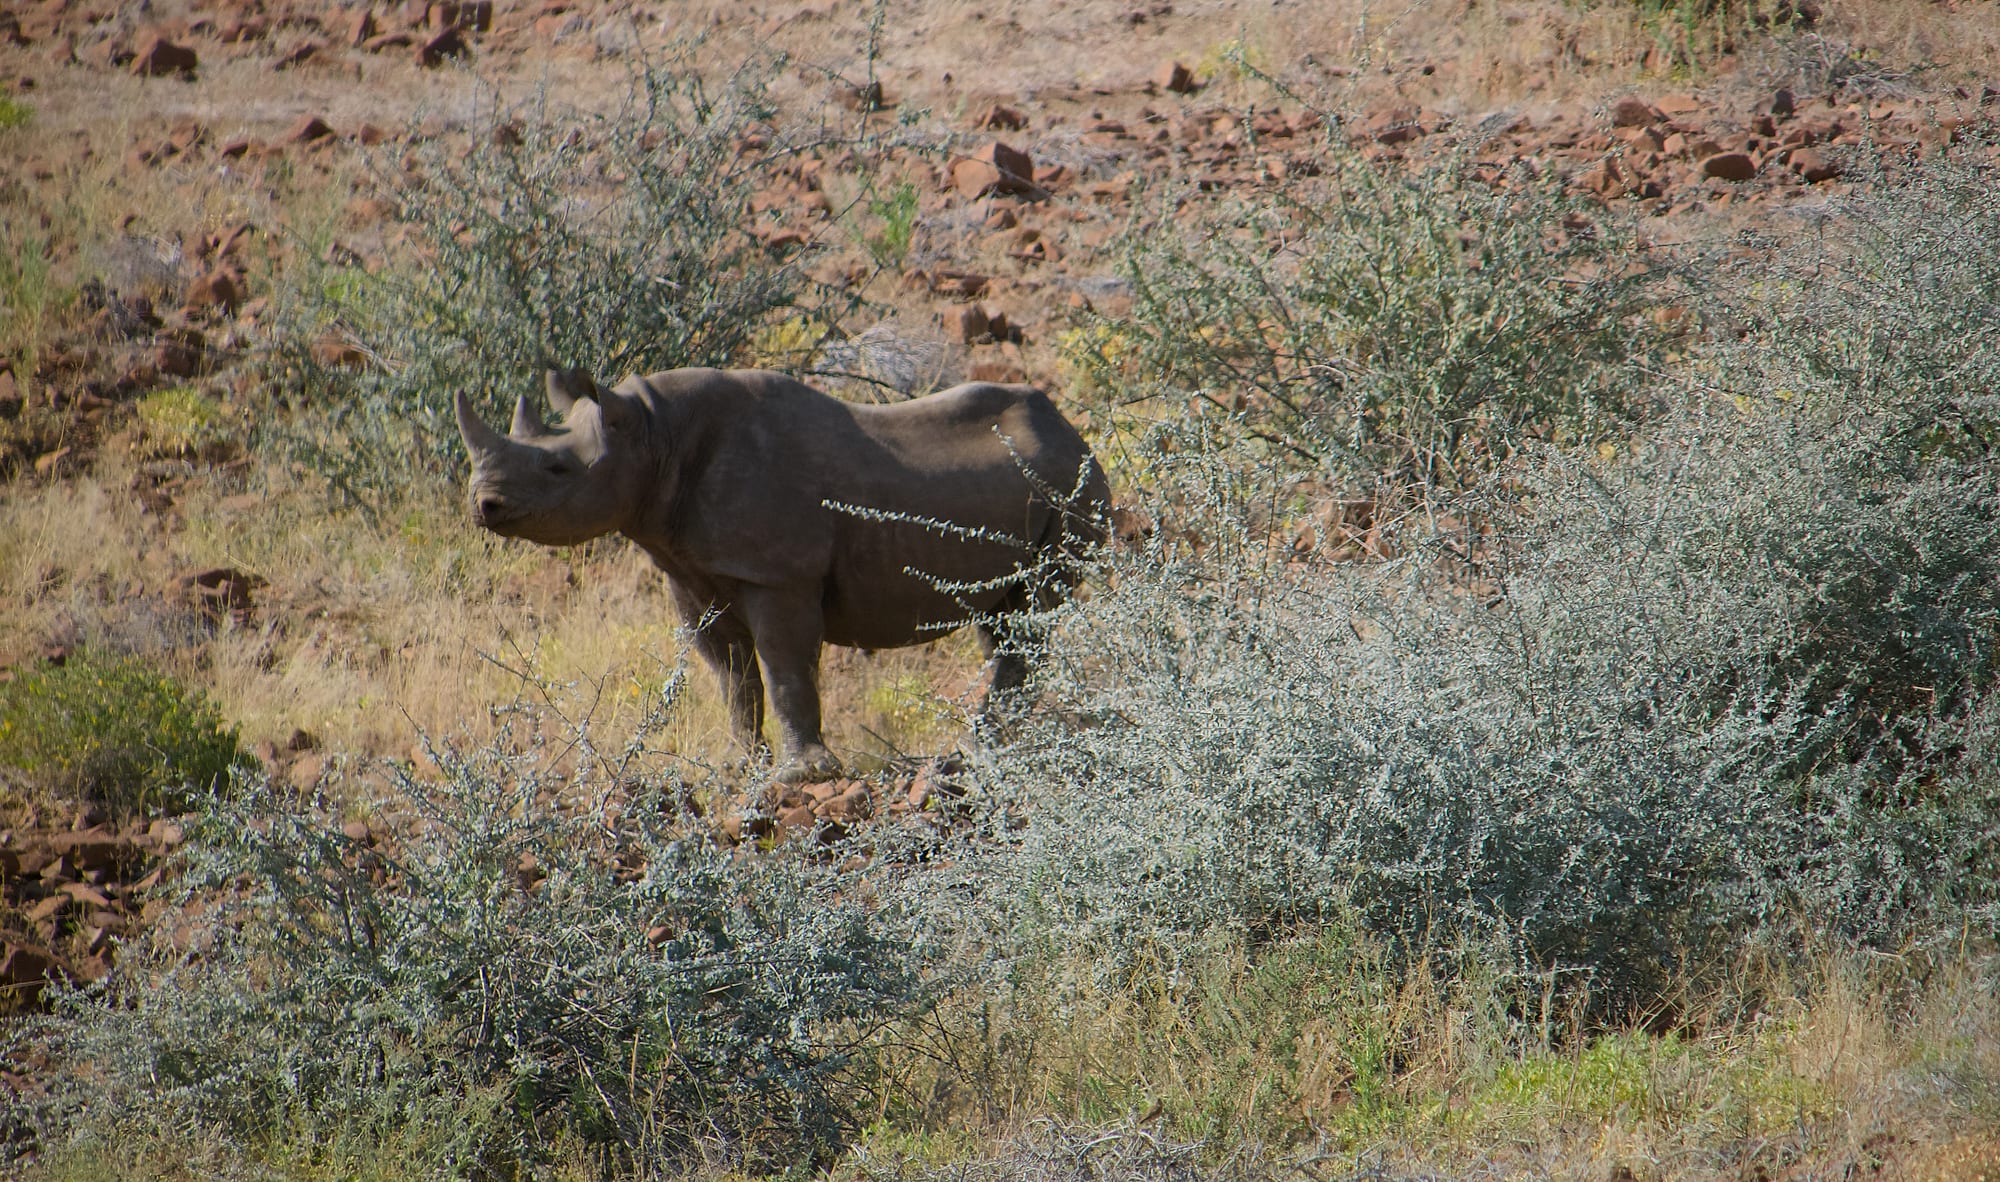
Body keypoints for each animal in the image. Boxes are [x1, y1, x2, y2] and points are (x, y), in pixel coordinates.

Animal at [455, 367, 1108, 781]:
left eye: (559, 468)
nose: (484, 504)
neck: (650, 432)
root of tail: (1074, 432)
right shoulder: (693, 572)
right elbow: (732, 675)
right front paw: (739, 766)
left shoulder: (779, 572)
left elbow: (784, 665)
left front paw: (801, 776)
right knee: (1002, 623)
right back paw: (985, 747)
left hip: (1073, 487)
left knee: (1030, 615)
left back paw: (977, 752)